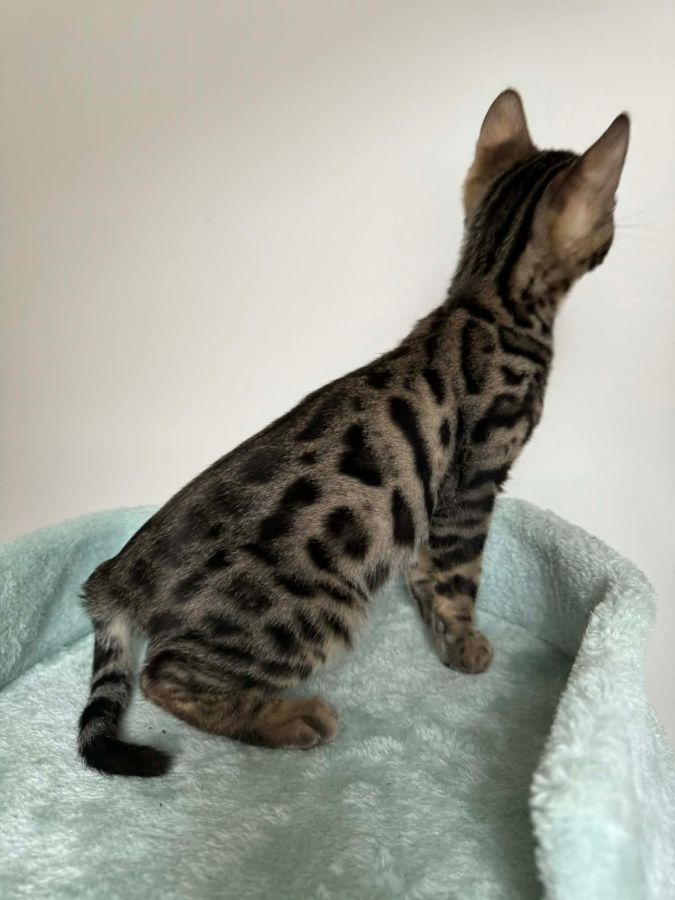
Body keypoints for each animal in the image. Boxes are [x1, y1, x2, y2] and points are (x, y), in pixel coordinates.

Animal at [78, 90, 629, 776]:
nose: (618, 232)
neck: (489, 298)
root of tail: (118, 576)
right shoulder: (474, 481)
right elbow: (460, 577)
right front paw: (464, 645)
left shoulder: (435, 504)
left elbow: (427, 570)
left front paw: (436, 620)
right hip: (321, 608)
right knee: (164, 675)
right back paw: (290, 719)